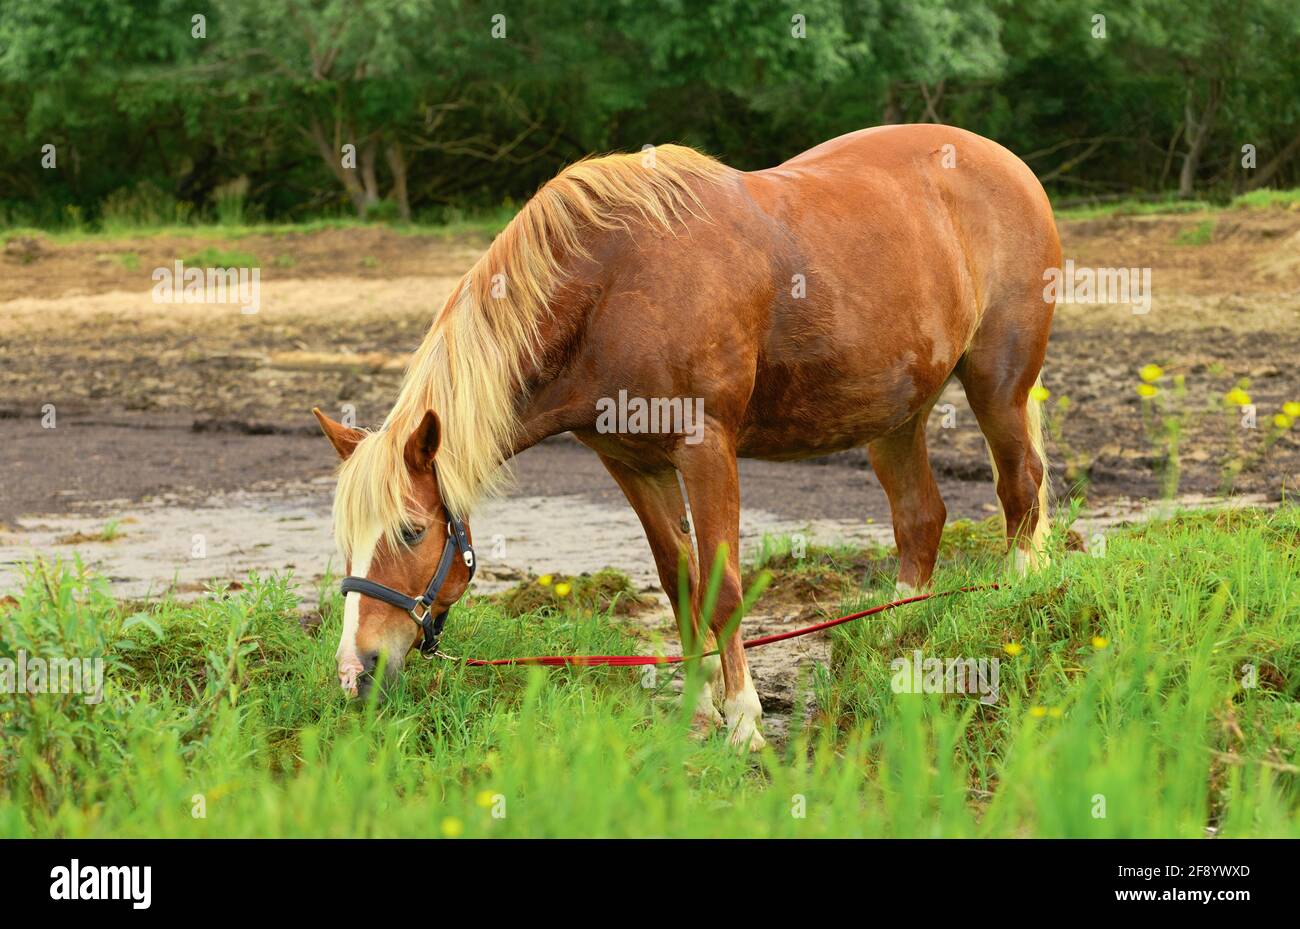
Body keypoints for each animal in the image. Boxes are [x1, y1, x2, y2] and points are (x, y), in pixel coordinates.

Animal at [313, 123, 1059, 749]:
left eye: (412, 530)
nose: (355, 671)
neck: (611, 287)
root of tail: (1008, 164)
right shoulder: (632, 465)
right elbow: (679, 585)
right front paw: (698, 714)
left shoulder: (707, 451)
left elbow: (722, 587)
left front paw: (745, 723)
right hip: (896, 415)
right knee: (919, 519)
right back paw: (896, 636)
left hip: (997, 386)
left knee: (1019, 487)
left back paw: (1016, 600)